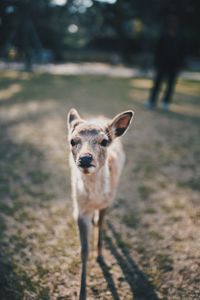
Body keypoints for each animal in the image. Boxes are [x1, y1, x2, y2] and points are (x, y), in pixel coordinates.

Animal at [67, 108, 134, 300]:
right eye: (73, 141)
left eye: (104, 141)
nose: (85, 159)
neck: (95, 198)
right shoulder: (80, 210)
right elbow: (84, 251)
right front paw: (81, 292)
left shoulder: (106, 202)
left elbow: (102, 226)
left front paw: (100, 256)